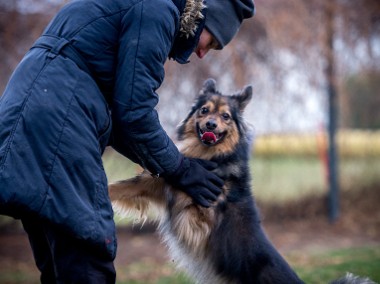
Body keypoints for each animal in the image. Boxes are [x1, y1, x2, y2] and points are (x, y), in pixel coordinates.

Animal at [108, 79, 370, 282]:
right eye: (204, 111)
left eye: (225, 116)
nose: (211, 124)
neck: (208, 155)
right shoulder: (161, 185)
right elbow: (123, 186)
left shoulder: (198, 211)